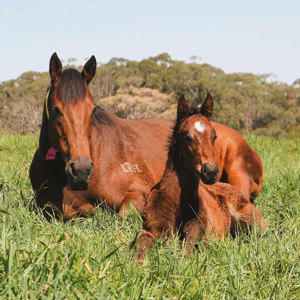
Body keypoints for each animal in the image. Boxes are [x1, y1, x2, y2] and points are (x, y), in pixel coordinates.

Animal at [136, 94, 268, 260]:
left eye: (214, 135)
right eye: (186, 136)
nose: (210, 171)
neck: (175, 204)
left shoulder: (200, 234)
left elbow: (185, 254)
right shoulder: (150, 229)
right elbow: (140, 249)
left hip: (253, 221)